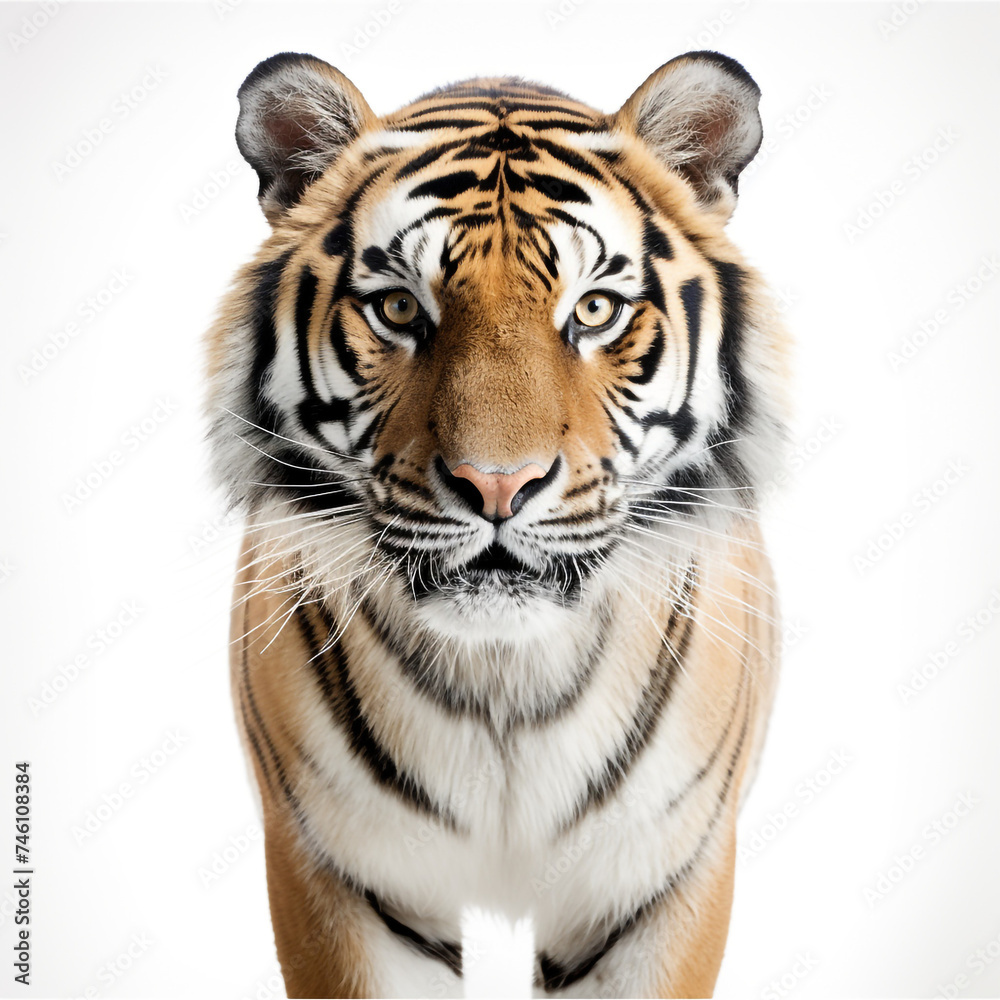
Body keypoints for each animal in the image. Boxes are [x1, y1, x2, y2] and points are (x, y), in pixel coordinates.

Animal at [205, 49, 790, 999]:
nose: (497, 485)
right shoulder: (340, 875)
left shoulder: (661, 880)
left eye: (594, 310)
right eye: (399, 310)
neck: (506, 678)